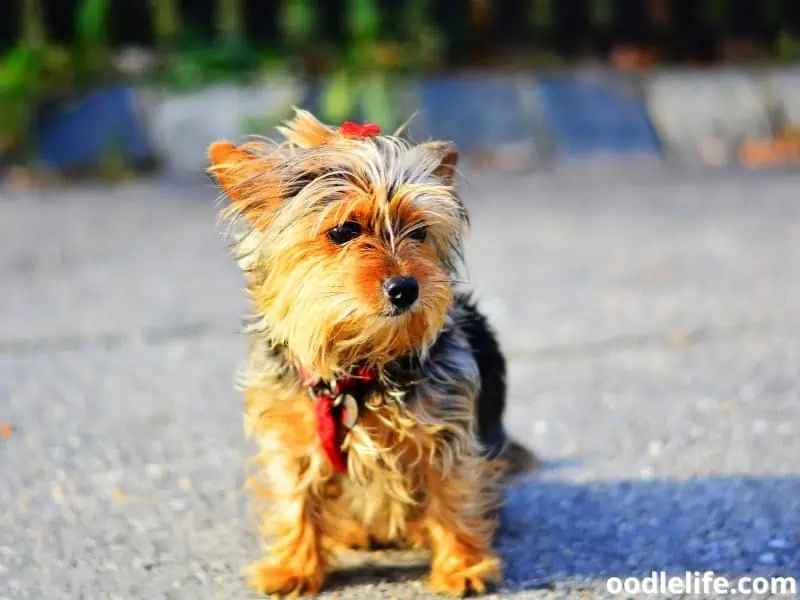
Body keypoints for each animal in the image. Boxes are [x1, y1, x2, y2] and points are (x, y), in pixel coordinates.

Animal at [206, 111, 536, 596]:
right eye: (344, 231)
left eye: (419, 233)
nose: (405, 288)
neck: (357, 367)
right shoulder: (292, 437)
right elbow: (294, 499)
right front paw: (294, 567)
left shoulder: (447, 433)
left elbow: (452, 494)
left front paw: (461, 567)